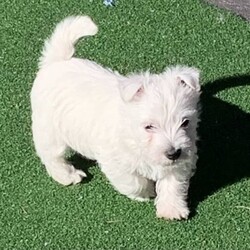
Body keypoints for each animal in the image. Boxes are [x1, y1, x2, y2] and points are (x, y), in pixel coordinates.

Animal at [30, 15, 200, 220]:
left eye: (185, 122)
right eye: (149, 127)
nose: (173, 153)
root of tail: (57, 61)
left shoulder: (181, 158)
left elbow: (173, 183)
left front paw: (171, 209)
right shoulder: (115, 162)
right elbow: (134, 182)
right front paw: (147, 192)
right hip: (49, 129)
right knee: (51, 155)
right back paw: (67, 175)